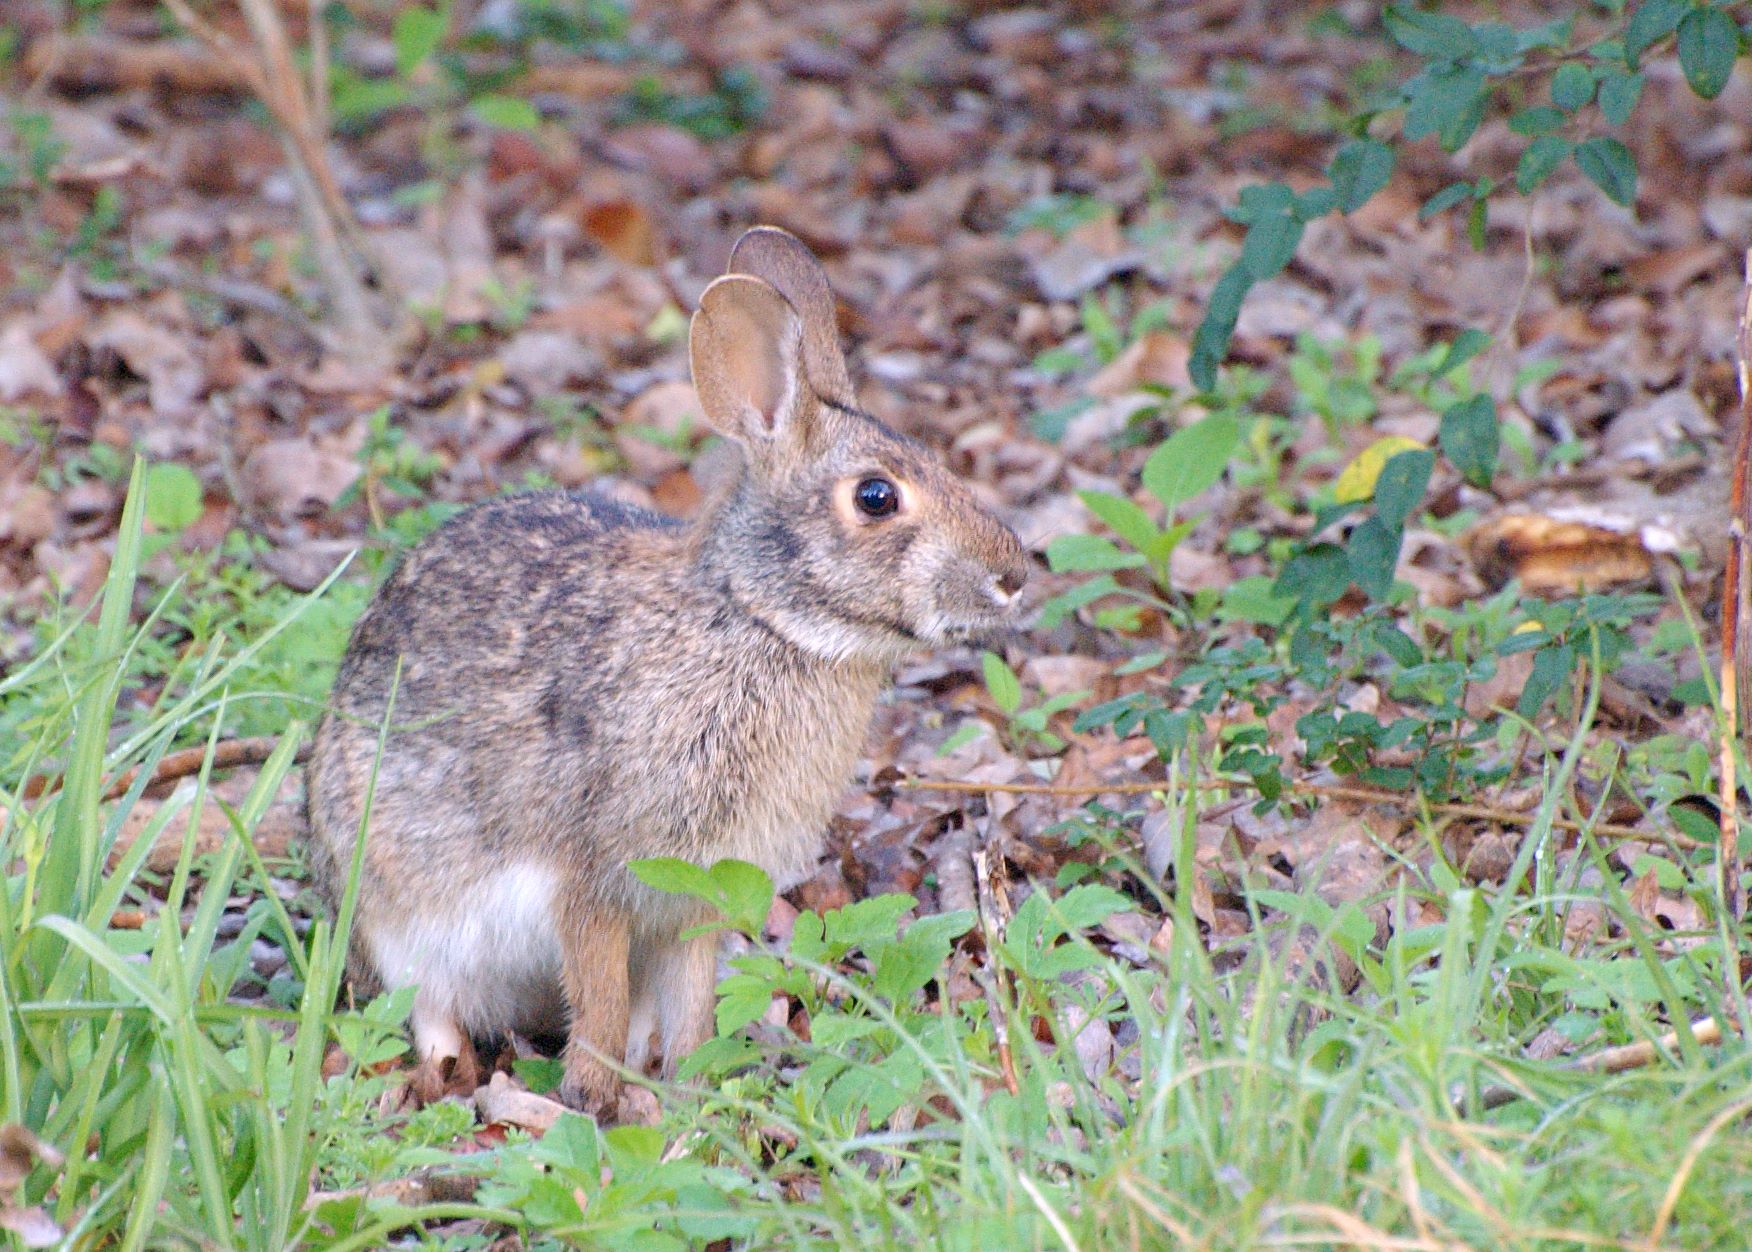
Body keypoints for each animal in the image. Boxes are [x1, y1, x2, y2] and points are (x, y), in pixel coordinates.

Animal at [308, 225, 1030, 1113]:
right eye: (876, 497)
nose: (1012, 575)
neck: (755, 616)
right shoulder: (592, 876)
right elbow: (598, 992)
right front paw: (595, 1097)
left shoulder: (698, 895)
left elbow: (690, 999)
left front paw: (692, 1089)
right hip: (392, 901)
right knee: (427, 1006)